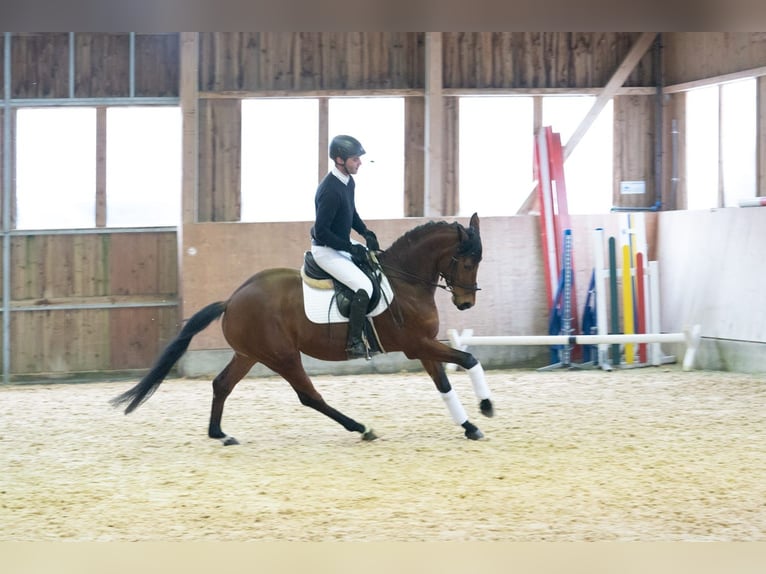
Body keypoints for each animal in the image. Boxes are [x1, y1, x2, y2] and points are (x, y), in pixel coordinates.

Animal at [111, 215, 496, 446]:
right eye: (467, 261)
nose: (466, 303)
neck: (405, 282)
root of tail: (232, 299)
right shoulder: (417, 344)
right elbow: (469, 359)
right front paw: (487, 407)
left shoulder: (425, 345)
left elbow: (445, 384)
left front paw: (469, 425)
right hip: (282, 355)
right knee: (309, 396)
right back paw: (361, 428)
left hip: (249, 354)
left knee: (221, 385)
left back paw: (220, 434)